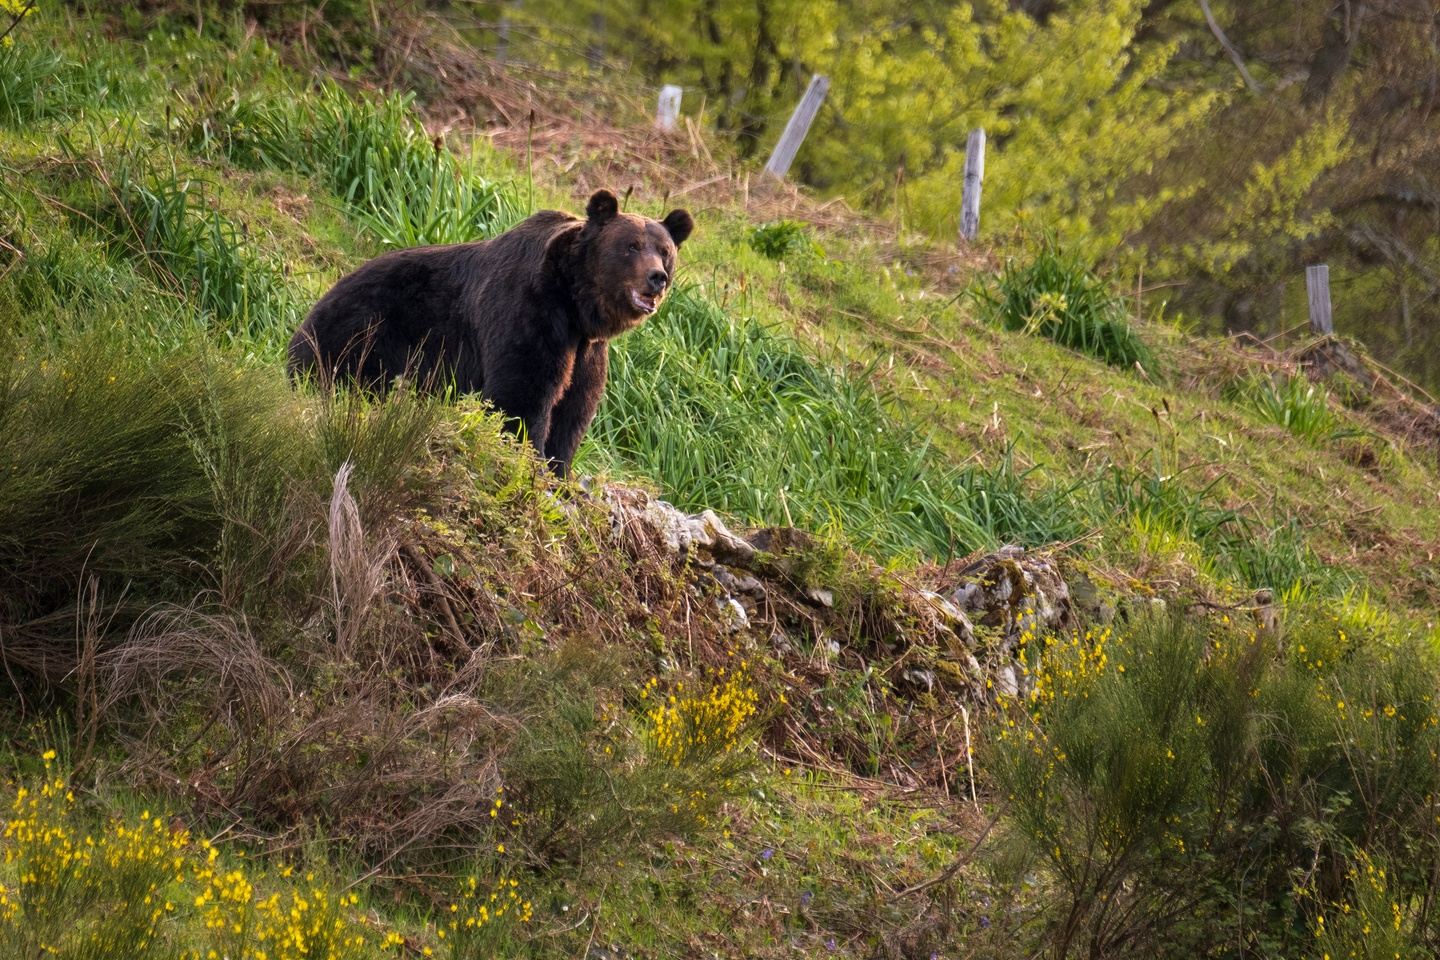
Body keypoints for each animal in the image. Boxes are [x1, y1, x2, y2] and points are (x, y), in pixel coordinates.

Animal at [287, 189, 694, 478]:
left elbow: (574, 408)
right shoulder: (529, 312)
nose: (657, 277)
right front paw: (528, 461)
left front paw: (559, 473)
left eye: (665, 250)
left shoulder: (586, 351)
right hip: (366, 329)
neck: (576, 304)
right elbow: (523, 392)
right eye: (631, 246)